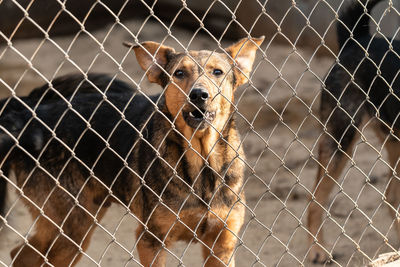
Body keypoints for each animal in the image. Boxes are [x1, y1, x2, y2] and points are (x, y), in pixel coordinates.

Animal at [0, 36, 264, 267]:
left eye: (217, 72)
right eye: (179, 73)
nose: (199, 95)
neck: (201, 159)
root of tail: (29, 112)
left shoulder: (222, 244)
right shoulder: (151, 240)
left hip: (79, 223)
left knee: (22, 253)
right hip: (70, 224)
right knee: (23, 255)